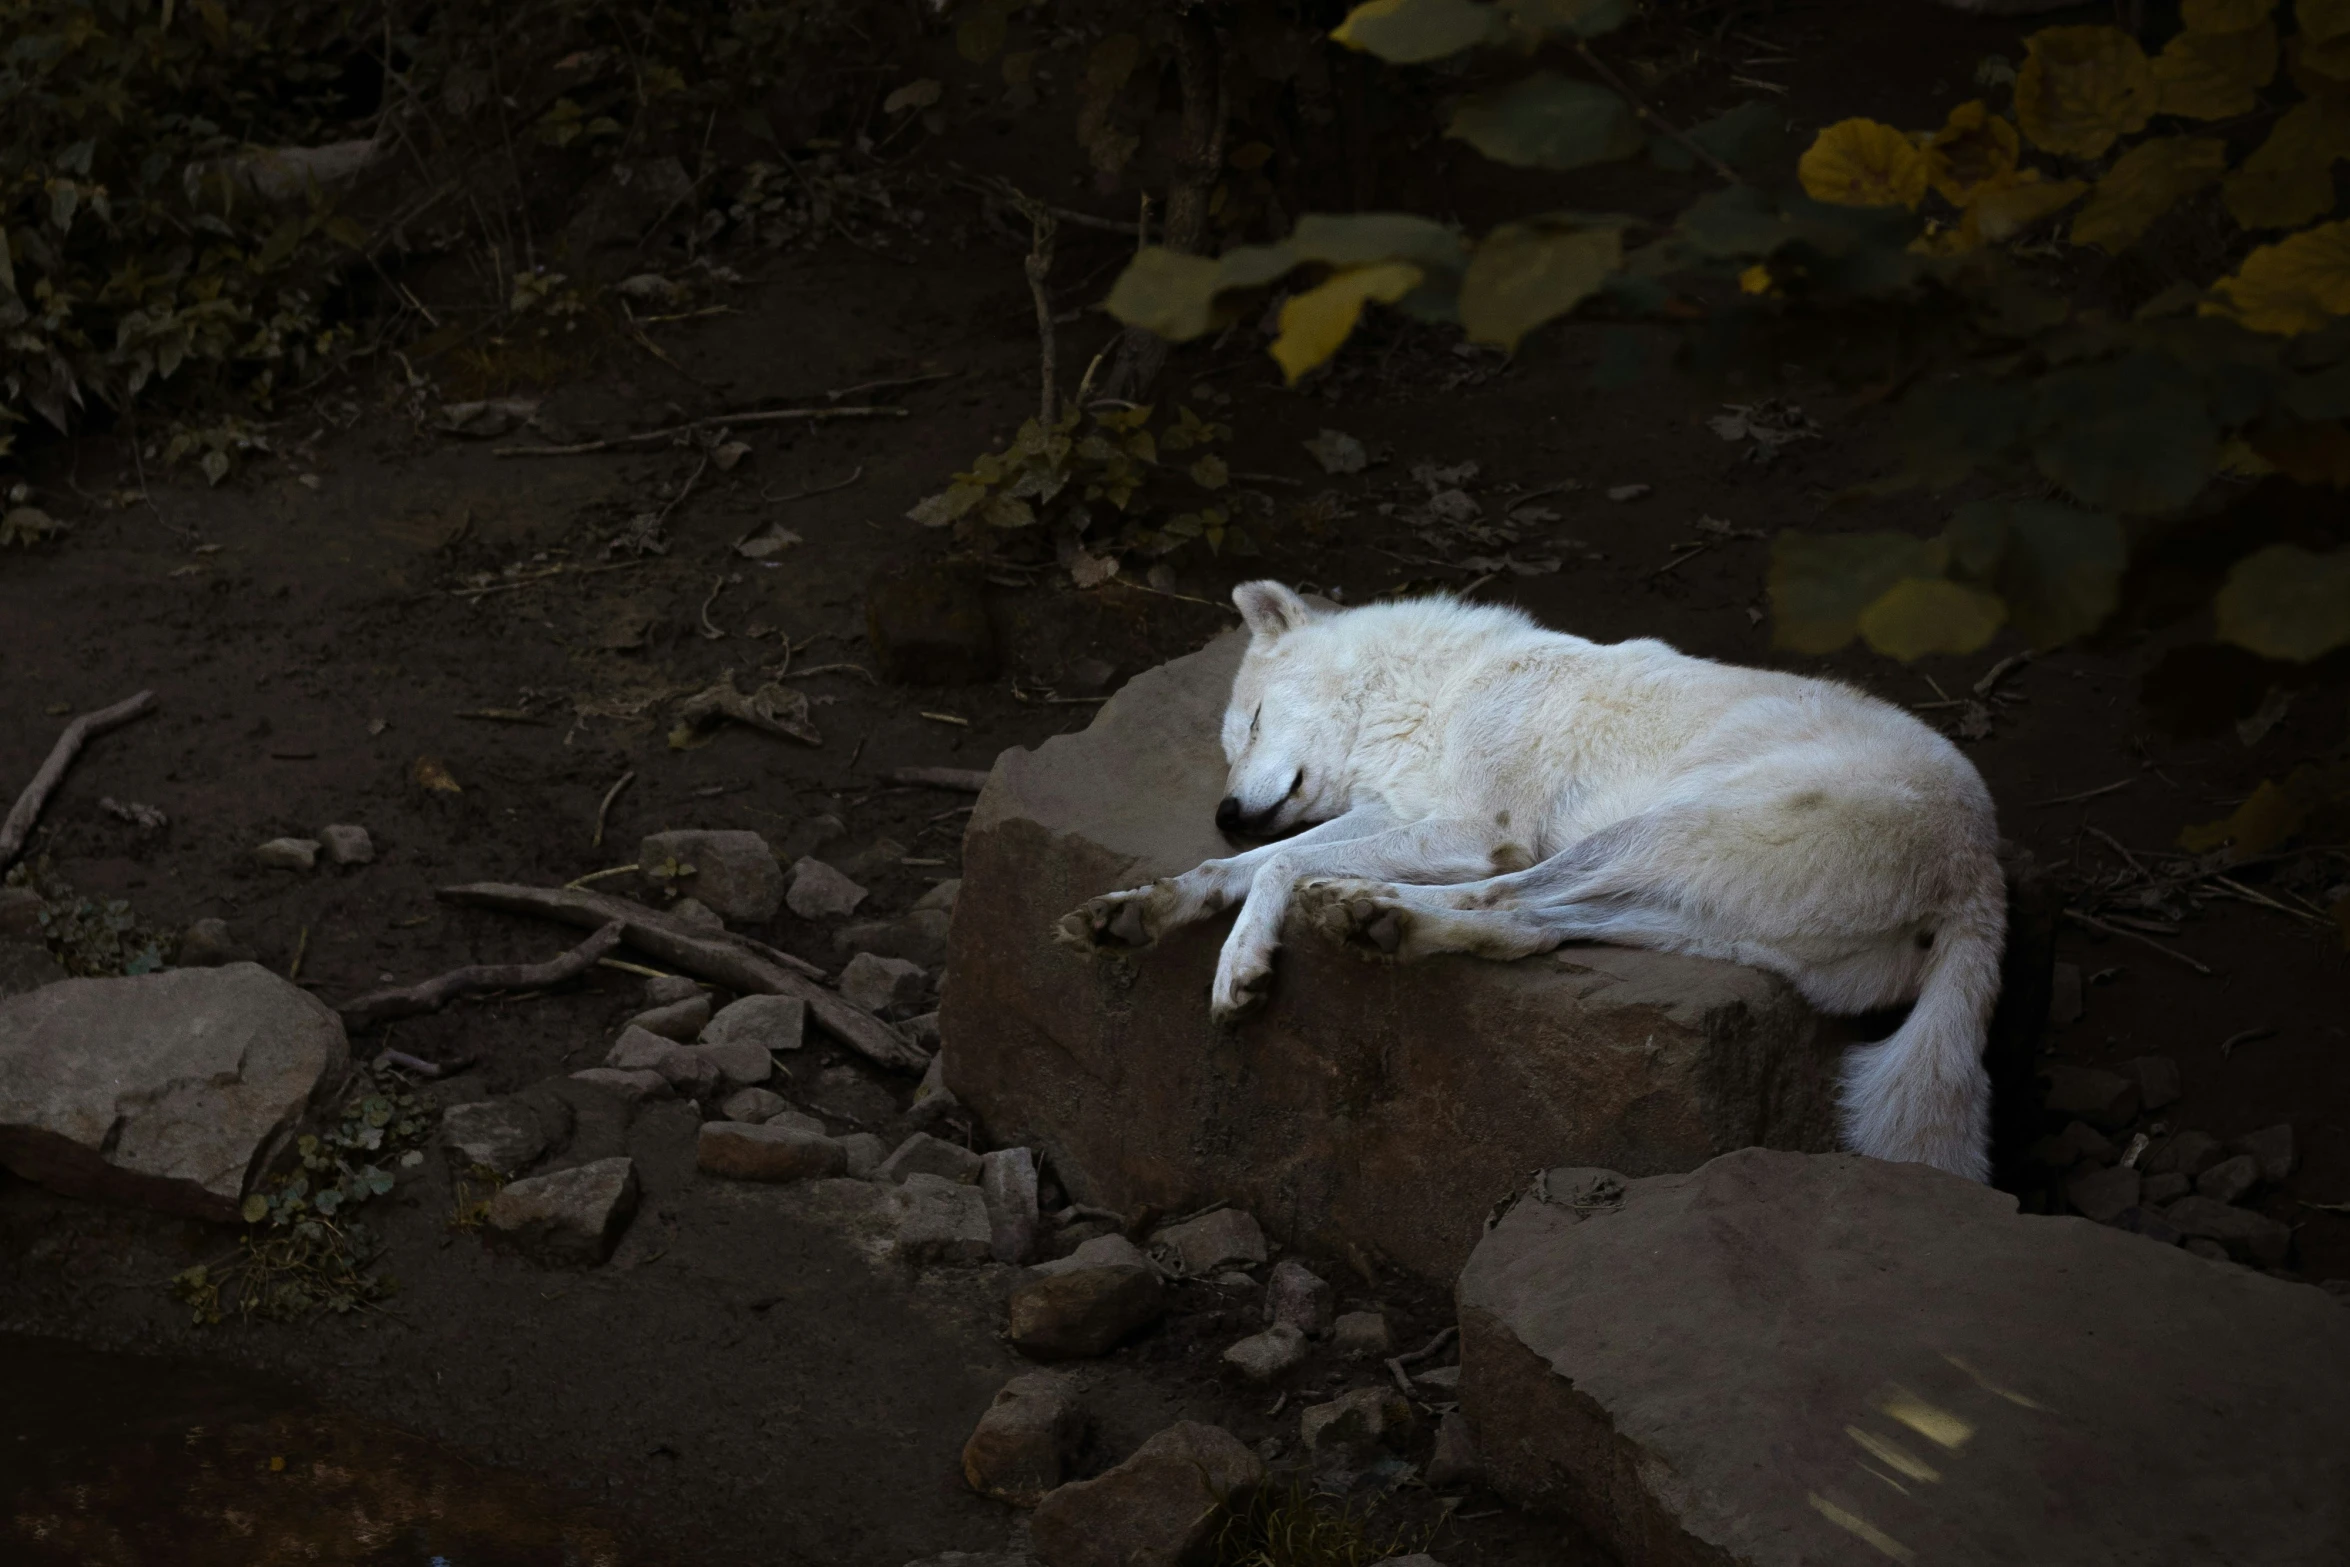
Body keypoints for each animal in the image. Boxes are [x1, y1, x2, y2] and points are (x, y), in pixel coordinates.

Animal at [1076, 582, 2011, 1184]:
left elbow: (1278, 861)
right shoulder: (1401, 811)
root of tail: (1983, 876)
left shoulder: (1477, 831)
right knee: (1536, 925)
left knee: (1508, 900)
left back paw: (1366, 914)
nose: (1228, 809)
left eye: (1256, 721)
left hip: (1646, 832)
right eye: (1230, 744)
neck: (1437, 696)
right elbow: (1242, 867)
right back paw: (1377, 919)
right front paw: (1146, 907)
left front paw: (1241, 964)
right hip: (1684, 907)